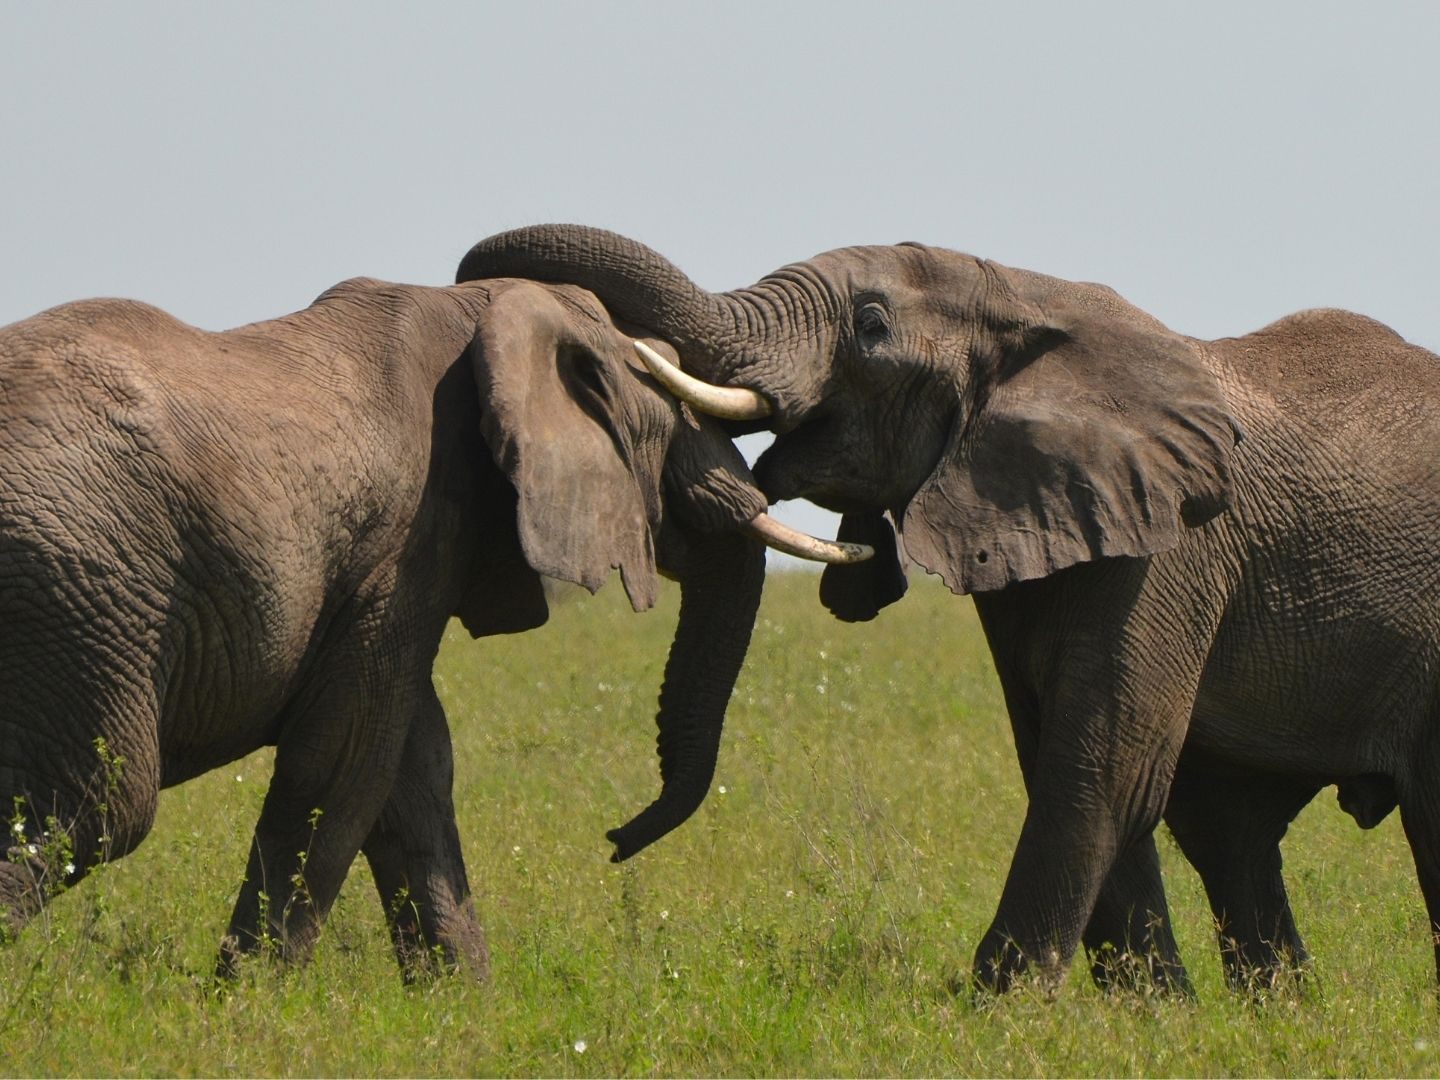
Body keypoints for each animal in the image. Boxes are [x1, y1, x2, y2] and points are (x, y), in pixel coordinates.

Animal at [0, 272, 870, 979]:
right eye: (679, 407)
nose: (614, 842)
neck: (487, 312)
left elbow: (413, 768)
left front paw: (465, 1010)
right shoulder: (406, 539)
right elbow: (345, 761)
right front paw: (244, 1009)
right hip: (82, 586)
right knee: (100, 806)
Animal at [458, 224, 1440, 996]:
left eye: (871, 325)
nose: (613, 841)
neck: (1028, 294)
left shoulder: (1173, 549)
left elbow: (1105, 759)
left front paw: (997, 1007)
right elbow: (1060, 750)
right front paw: (1154, 1018)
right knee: (1229, 828)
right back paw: (1281, 1012)